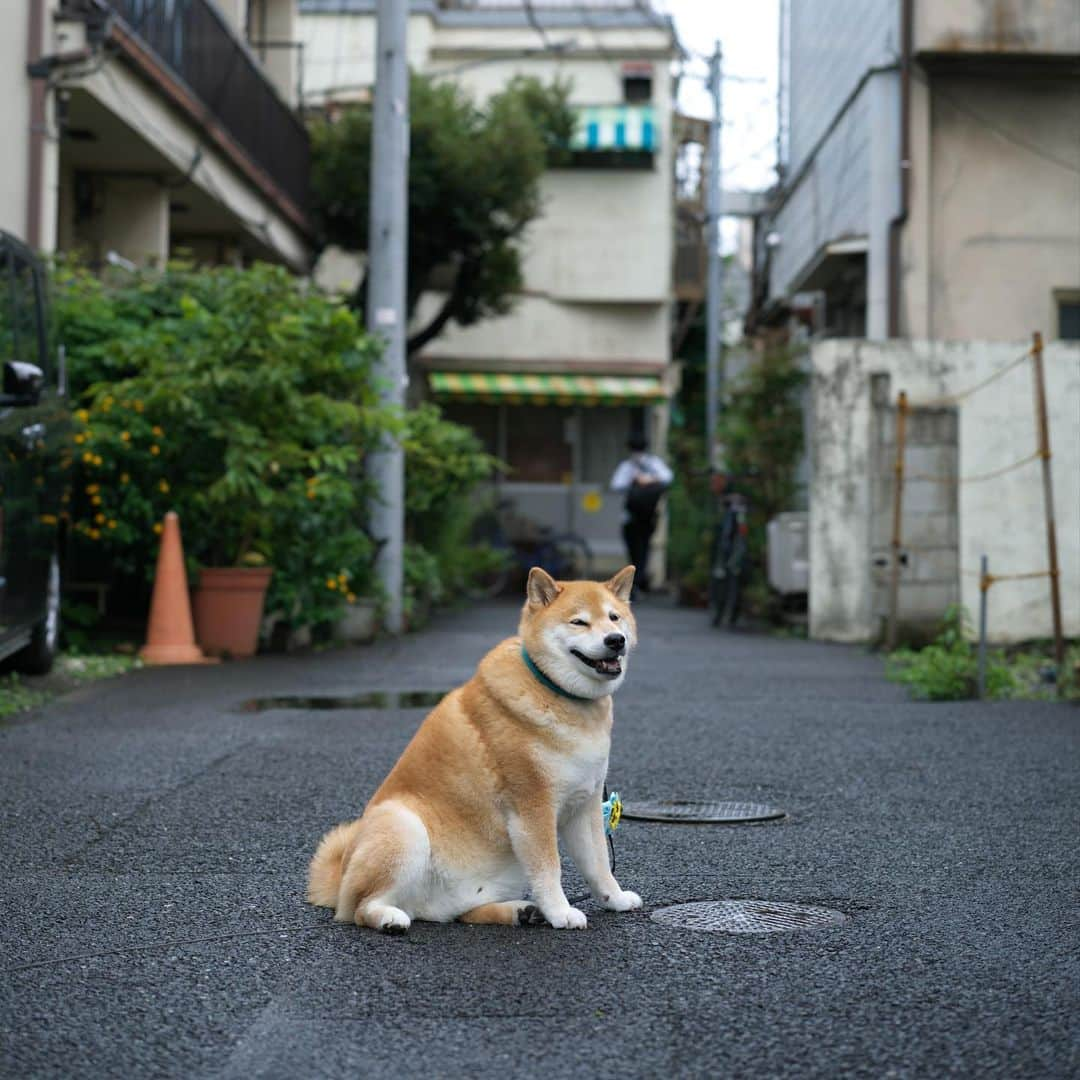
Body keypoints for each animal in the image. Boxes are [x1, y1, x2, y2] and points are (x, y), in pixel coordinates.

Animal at [306, 565, 639, 928]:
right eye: (579, 622)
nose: (615, 640)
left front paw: (614, 898)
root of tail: (340, 878)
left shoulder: (585, 805)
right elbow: (550, 868)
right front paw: (561, 911)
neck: (557, 693)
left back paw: (520, 910)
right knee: (360, 908)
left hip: (501, 870)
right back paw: (388, 918)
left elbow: (600, 865)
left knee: (461, 913)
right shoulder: (533, 808)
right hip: (405, 828)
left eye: (614, 617)